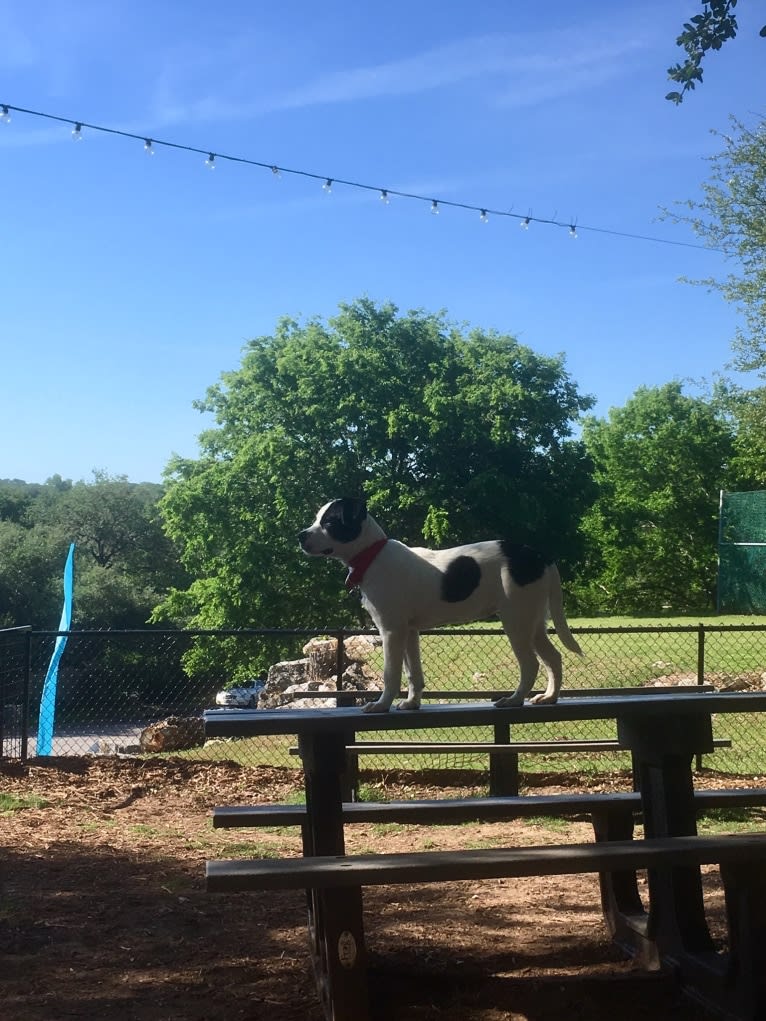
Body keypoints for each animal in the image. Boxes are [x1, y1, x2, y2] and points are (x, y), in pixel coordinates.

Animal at [298, 498, 580, 714]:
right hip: (534, 622)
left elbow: (391, 674)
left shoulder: (391, 631)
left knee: (531, 664)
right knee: (553, 658)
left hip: (516, 621)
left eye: (330, 522)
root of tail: (539, 556)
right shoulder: (409, 632)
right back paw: (549, 697)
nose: (300, 536)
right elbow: (414, 673)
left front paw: (381, 705)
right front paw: (412, 703)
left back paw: (514, 700)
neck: (372, 554)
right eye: (317, 519)